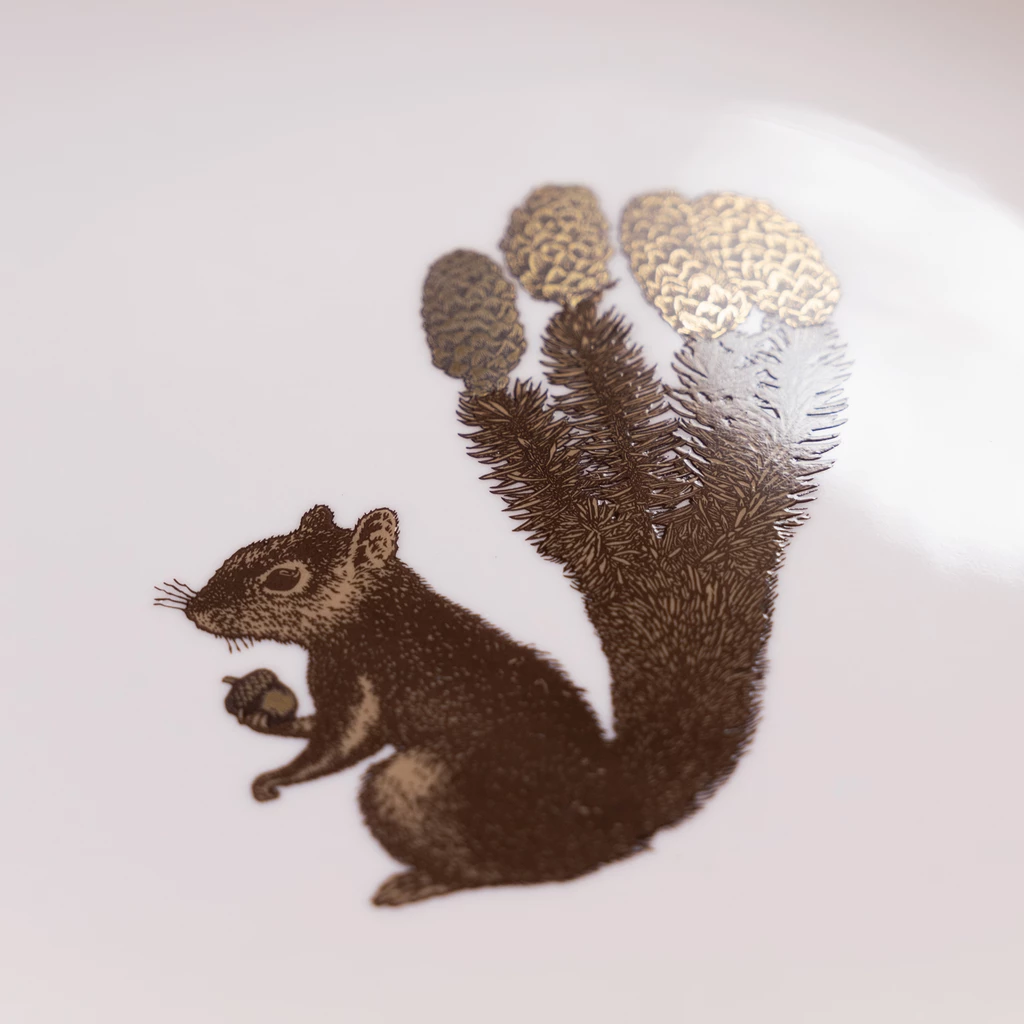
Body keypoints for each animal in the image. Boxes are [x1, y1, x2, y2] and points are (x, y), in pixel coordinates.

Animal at [157, 186, 847, 906]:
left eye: (284, 577)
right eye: (239, 552)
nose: (195, 611)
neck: (376, 615)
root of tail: (613, 822)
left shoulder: (365, 678)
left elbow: (340, 745)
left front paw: (277, 778)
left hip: (414, 785)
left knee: (495, 868)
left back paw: (416, 884)